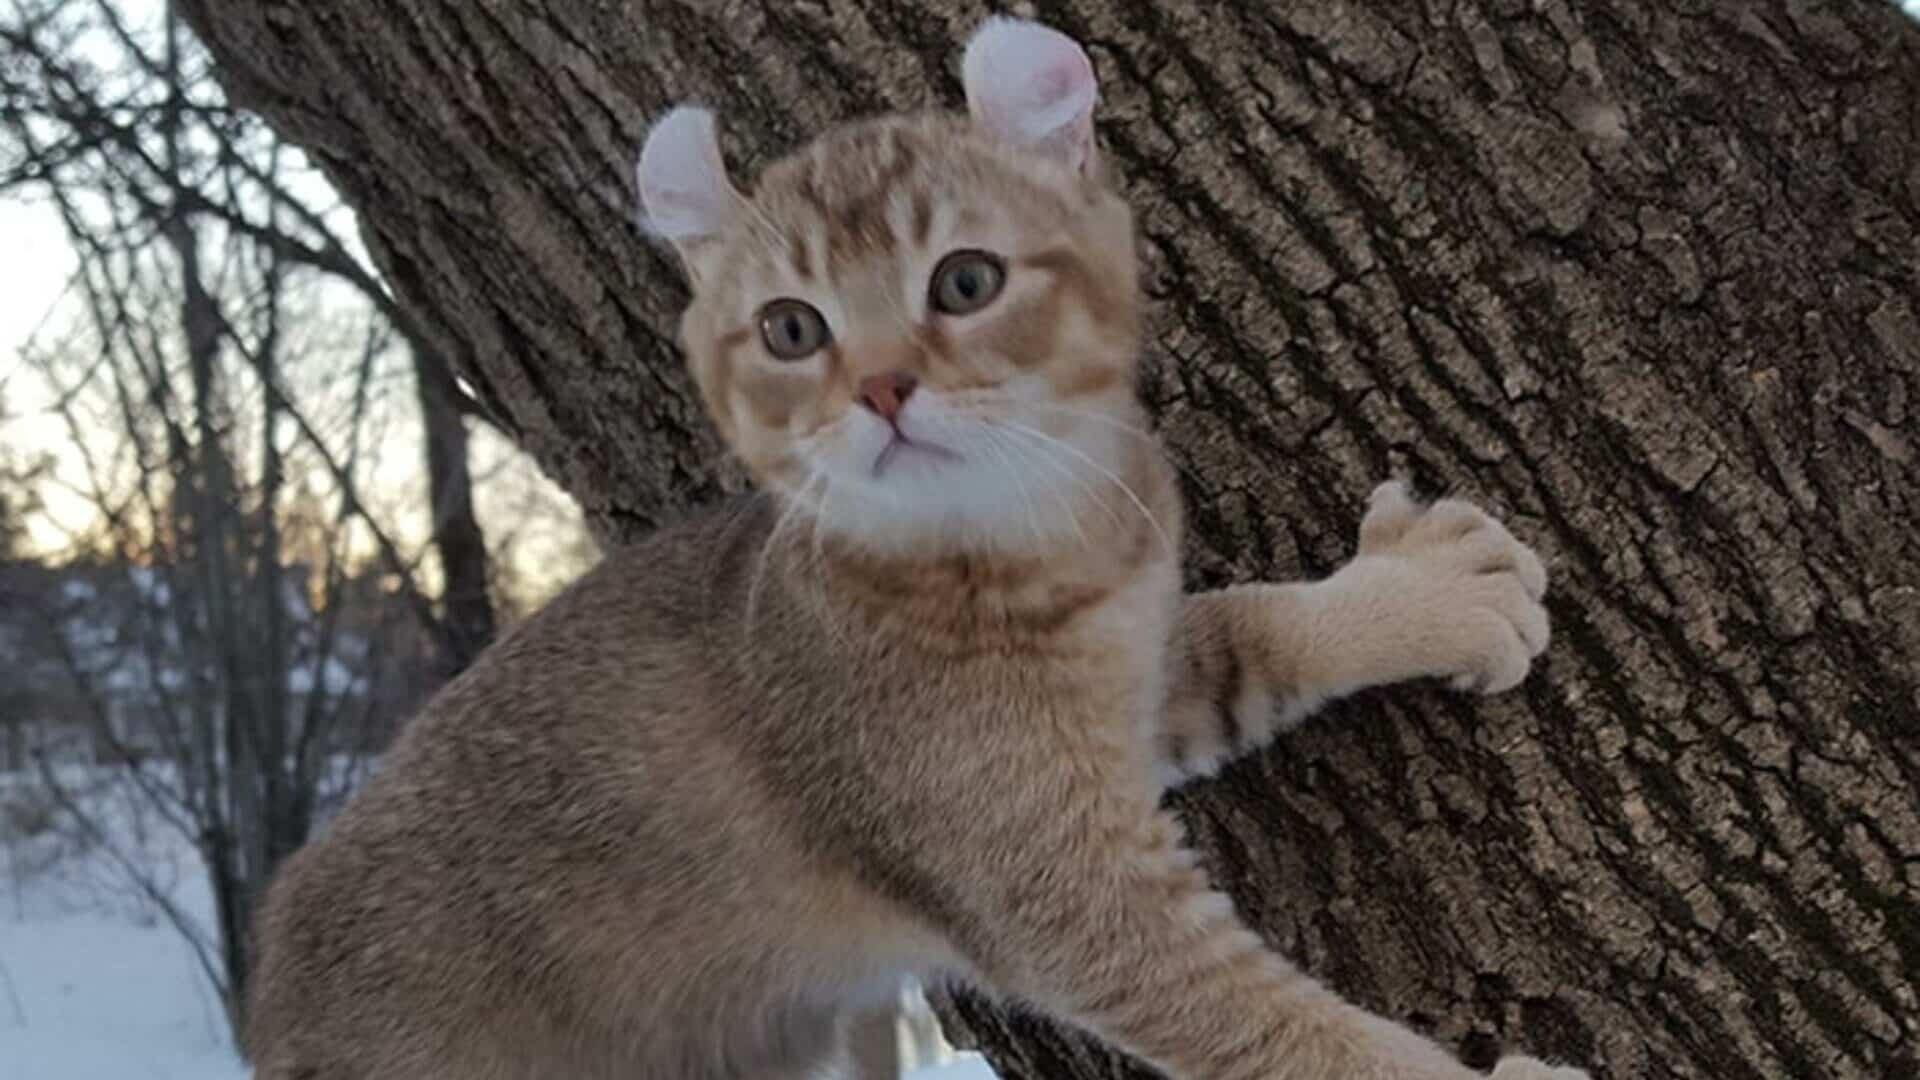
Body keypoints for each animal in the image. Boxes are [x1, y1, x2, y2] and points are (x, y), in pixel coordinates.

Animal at [240, 14, 1589, 1076]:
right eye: (790, 328)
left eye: (965, 280)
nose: (883, 389)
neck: (1038, 552)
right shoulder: (1061, 893)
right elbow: (1278, 1030)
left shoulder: (1132, 688)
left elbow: (1253, 625)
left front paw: (1423, 592)